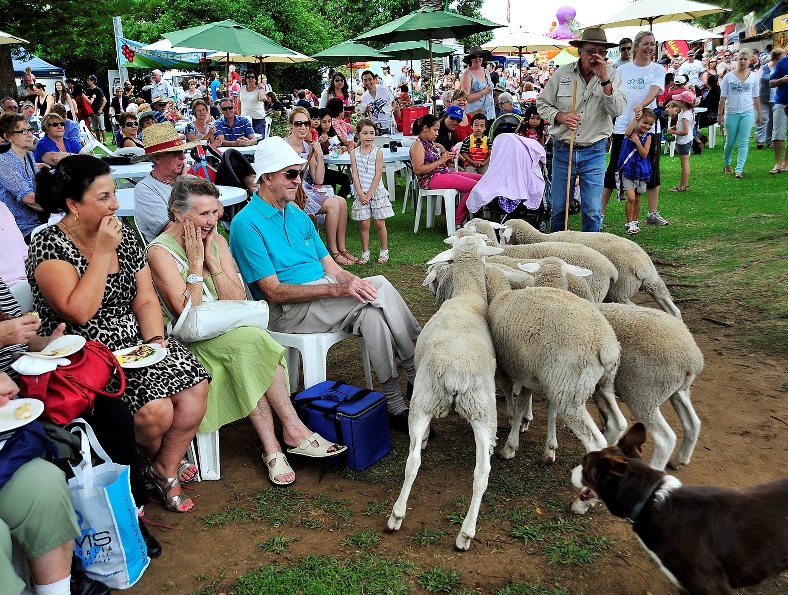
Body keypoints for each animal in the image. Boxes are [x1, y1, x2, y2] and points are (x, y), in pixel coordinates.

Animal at [386, 235, 502, 552]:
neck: (467, 297)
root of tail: (455, 373)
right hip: (480, 409)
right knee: (480, 473)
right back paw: (464, 533)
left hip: (433, 401)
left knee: (415, 461)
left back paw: (400, 516)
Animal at [484, 266, 624, 508]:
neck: (500, 296)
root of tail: (604, 346)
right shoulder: (536, 378)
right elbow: (544, 410)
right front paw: (548, 449)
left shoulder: (511, 372)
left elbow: (516, 405)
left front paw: (510, 446)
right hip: (600, 384)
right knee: (618, 424)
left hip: (570, 392)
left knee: (595, 442)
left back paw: (584, 501)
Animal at [524, 258, 700, 472]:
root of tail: (692, 359)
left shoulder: (561, 377)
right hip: (677, 390)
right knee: (692, 423)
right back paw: (679, 460)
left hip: (644, 394)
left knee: (665, 438)